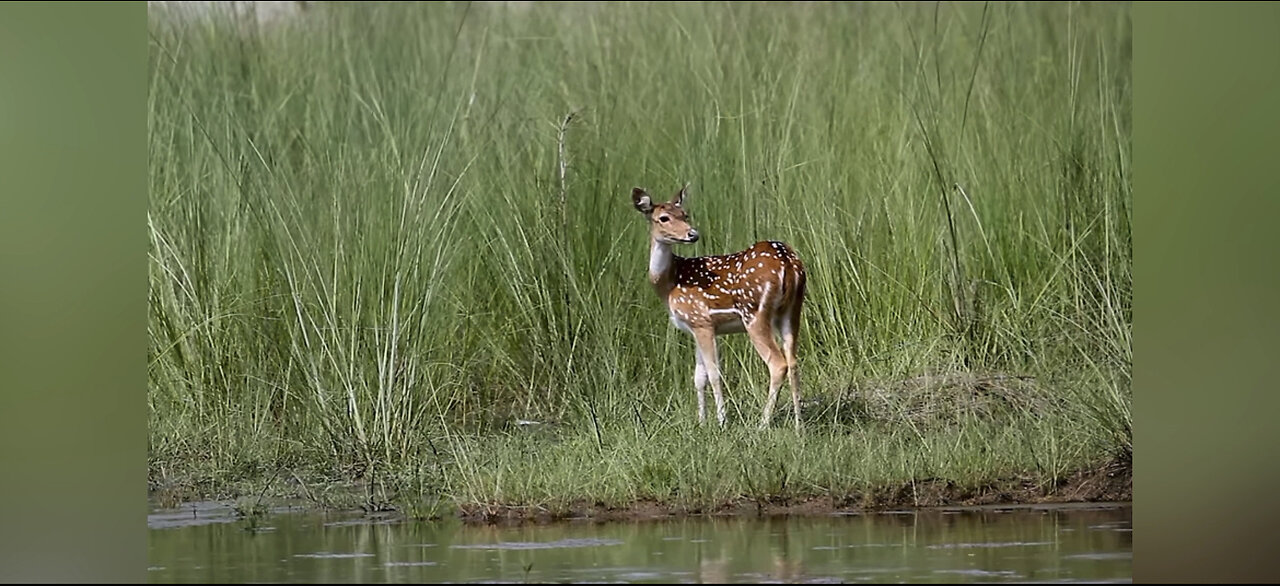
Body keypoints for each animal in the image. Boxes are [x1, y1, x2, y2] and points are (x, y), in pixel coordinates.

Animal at [632, 182, 803, 429]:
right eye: (664, 218)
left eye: (685, 215)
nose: (692, 234)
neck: (670, 282)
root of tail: (787, 263)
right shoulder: (696, 327)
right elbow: (698, 377)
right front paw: (702, 422)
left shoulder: (701, 320)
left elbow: (714, 373)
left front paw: (721, 421)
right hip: (792, 310)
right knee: (793, 360)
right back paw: (799, 424)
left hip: (755, 313)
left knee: (778, 364)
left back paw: (762, 424)